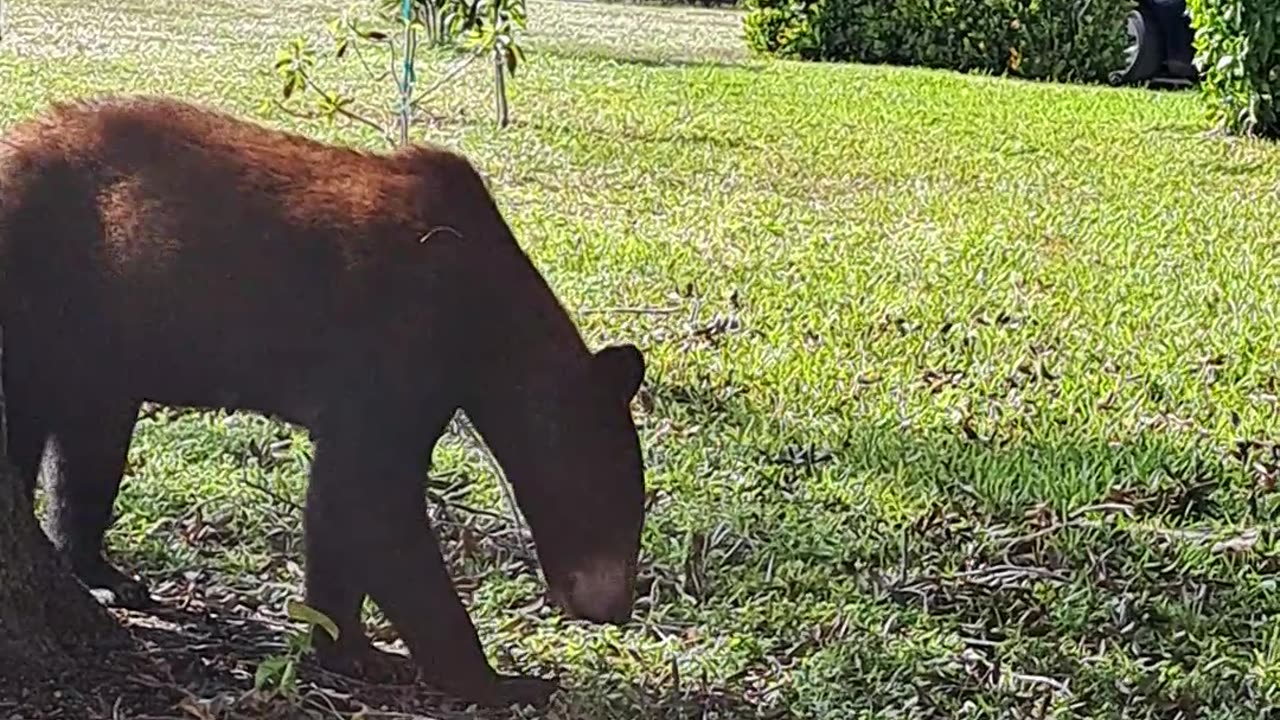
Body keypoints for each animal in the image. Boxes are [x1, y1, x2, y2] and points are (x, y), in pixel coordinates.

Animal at [0, 92, 645, 702]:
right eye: (613, 501)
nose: (613, 608)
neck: (486, 318)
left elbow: (339, 510)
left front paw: (349, 646)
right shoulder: (399, 341)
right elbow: (370, 498)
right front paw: (499, 680)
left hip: (95, 342)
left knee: (90, 443)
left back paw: (103, 571)